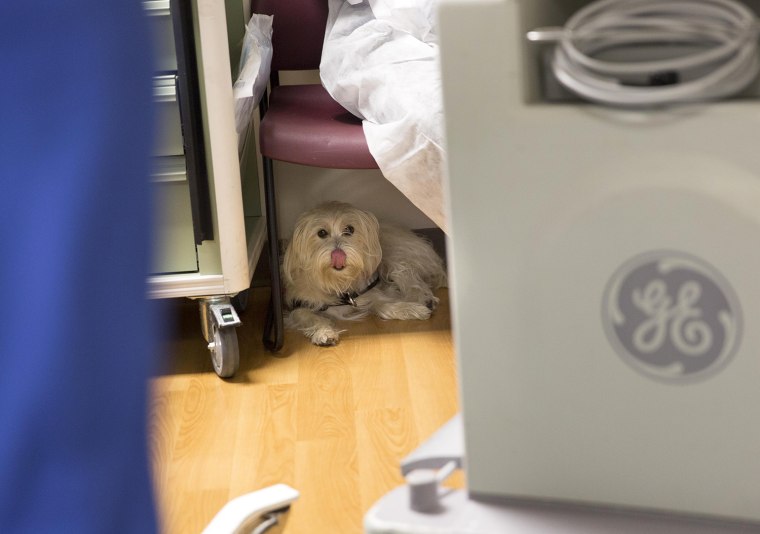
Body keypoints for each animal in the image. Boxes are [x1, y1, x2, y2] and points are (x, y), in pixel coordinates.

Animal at [280, 202, 446, 348]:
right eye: (321, 233)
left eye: (349, 229)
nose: (338, 254)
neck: (338, 282)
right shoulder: (299, 306)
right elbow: (310, 318)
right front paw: (324, 333)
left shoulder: (372, 293)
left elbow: (385, 304)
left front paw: (411, 309)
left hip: (394, 257)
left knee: (411, 277)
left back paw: (424, 299)